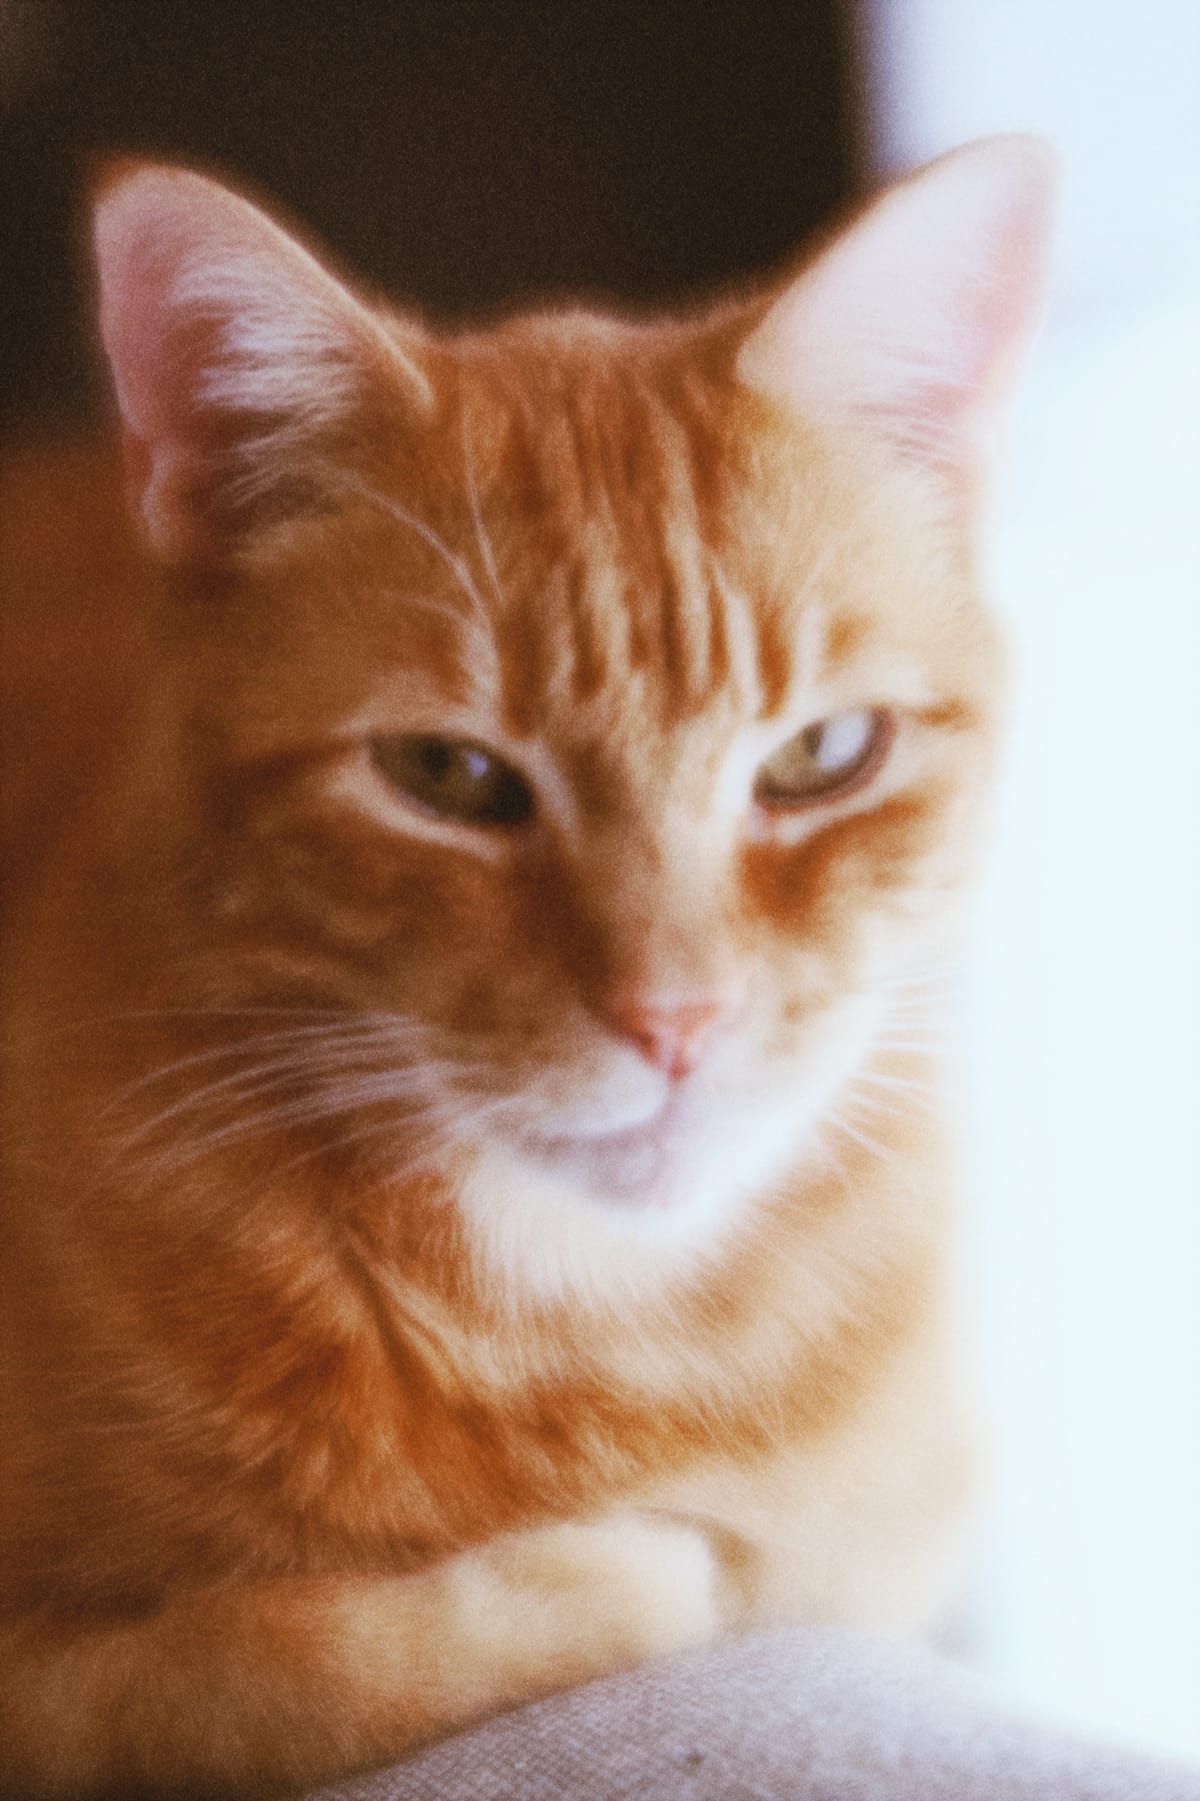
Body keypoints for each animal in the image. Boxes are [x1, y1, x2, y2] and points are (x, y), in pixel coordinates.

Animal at [0, 140, 1045, 1801]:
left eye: (823, 755)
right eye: (448, 776)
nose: (675, 1021)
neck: (578, 1326)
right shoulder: (56, 1699)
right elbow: (278, 1670)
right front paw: (616, 1571)